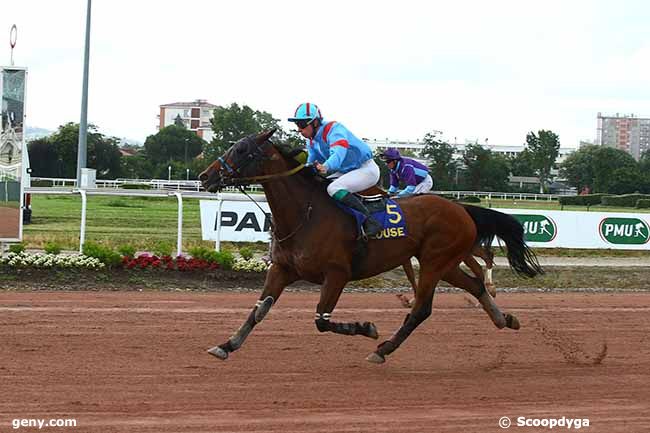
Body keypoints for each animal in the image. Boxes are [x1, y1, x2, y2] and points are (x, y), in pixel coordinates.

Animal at [199, 130, 540, 362]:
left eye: (241, 149)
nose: (204, 176)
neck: (306, 214)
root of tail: (461, 208)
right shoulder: (282, 269)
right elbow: (258, 311)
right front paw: (227, 345)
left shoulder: (337, 274)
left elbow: (321, 320)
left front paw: (366, 327)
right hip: (444, 263)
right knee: (474, 286)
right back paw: (505, 319)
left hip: (435, 262)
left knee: (422, 309)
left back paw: (384, 348)